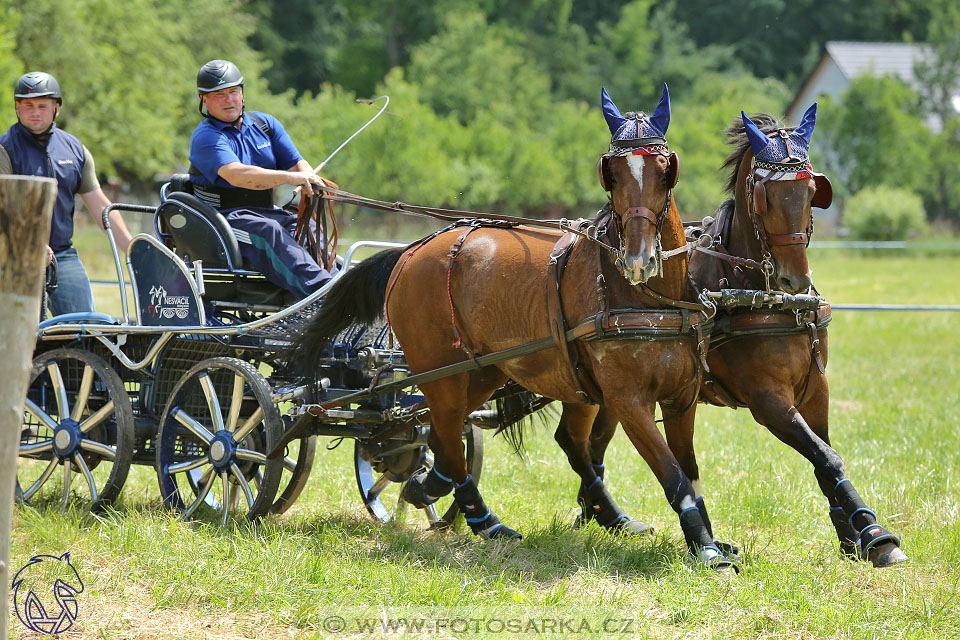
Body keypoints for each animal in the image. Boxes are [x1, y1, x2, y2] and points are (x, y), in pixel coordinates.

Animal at [296, 86, 740, 568]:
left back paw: (433, 488)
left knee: (446, 432)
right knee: (447, 431)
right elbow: (672, 474)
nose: (639, 259)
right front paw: (707, 549)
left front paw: (710, 539)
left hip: (481, 372)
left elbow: (690, 472)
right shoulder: (628, 401)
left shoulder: (681, 398)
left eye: (665, 172)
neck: (648, 300)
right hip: (440, 371)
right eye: (612, 174)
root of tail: (412, 250)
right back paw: (482, 519)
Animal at [568, 106, 908, 568]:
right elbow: (826, 456)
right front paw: (875, 535)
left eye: (811, 191)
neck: (762, 295)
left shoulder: (815, 388)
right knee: (575, 442)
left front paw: (854, 536)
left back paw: (603, 513)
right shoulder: (767, 400)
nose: (794, 278)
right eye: (765, 196)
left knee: (591, 445)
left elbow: (826, 457)